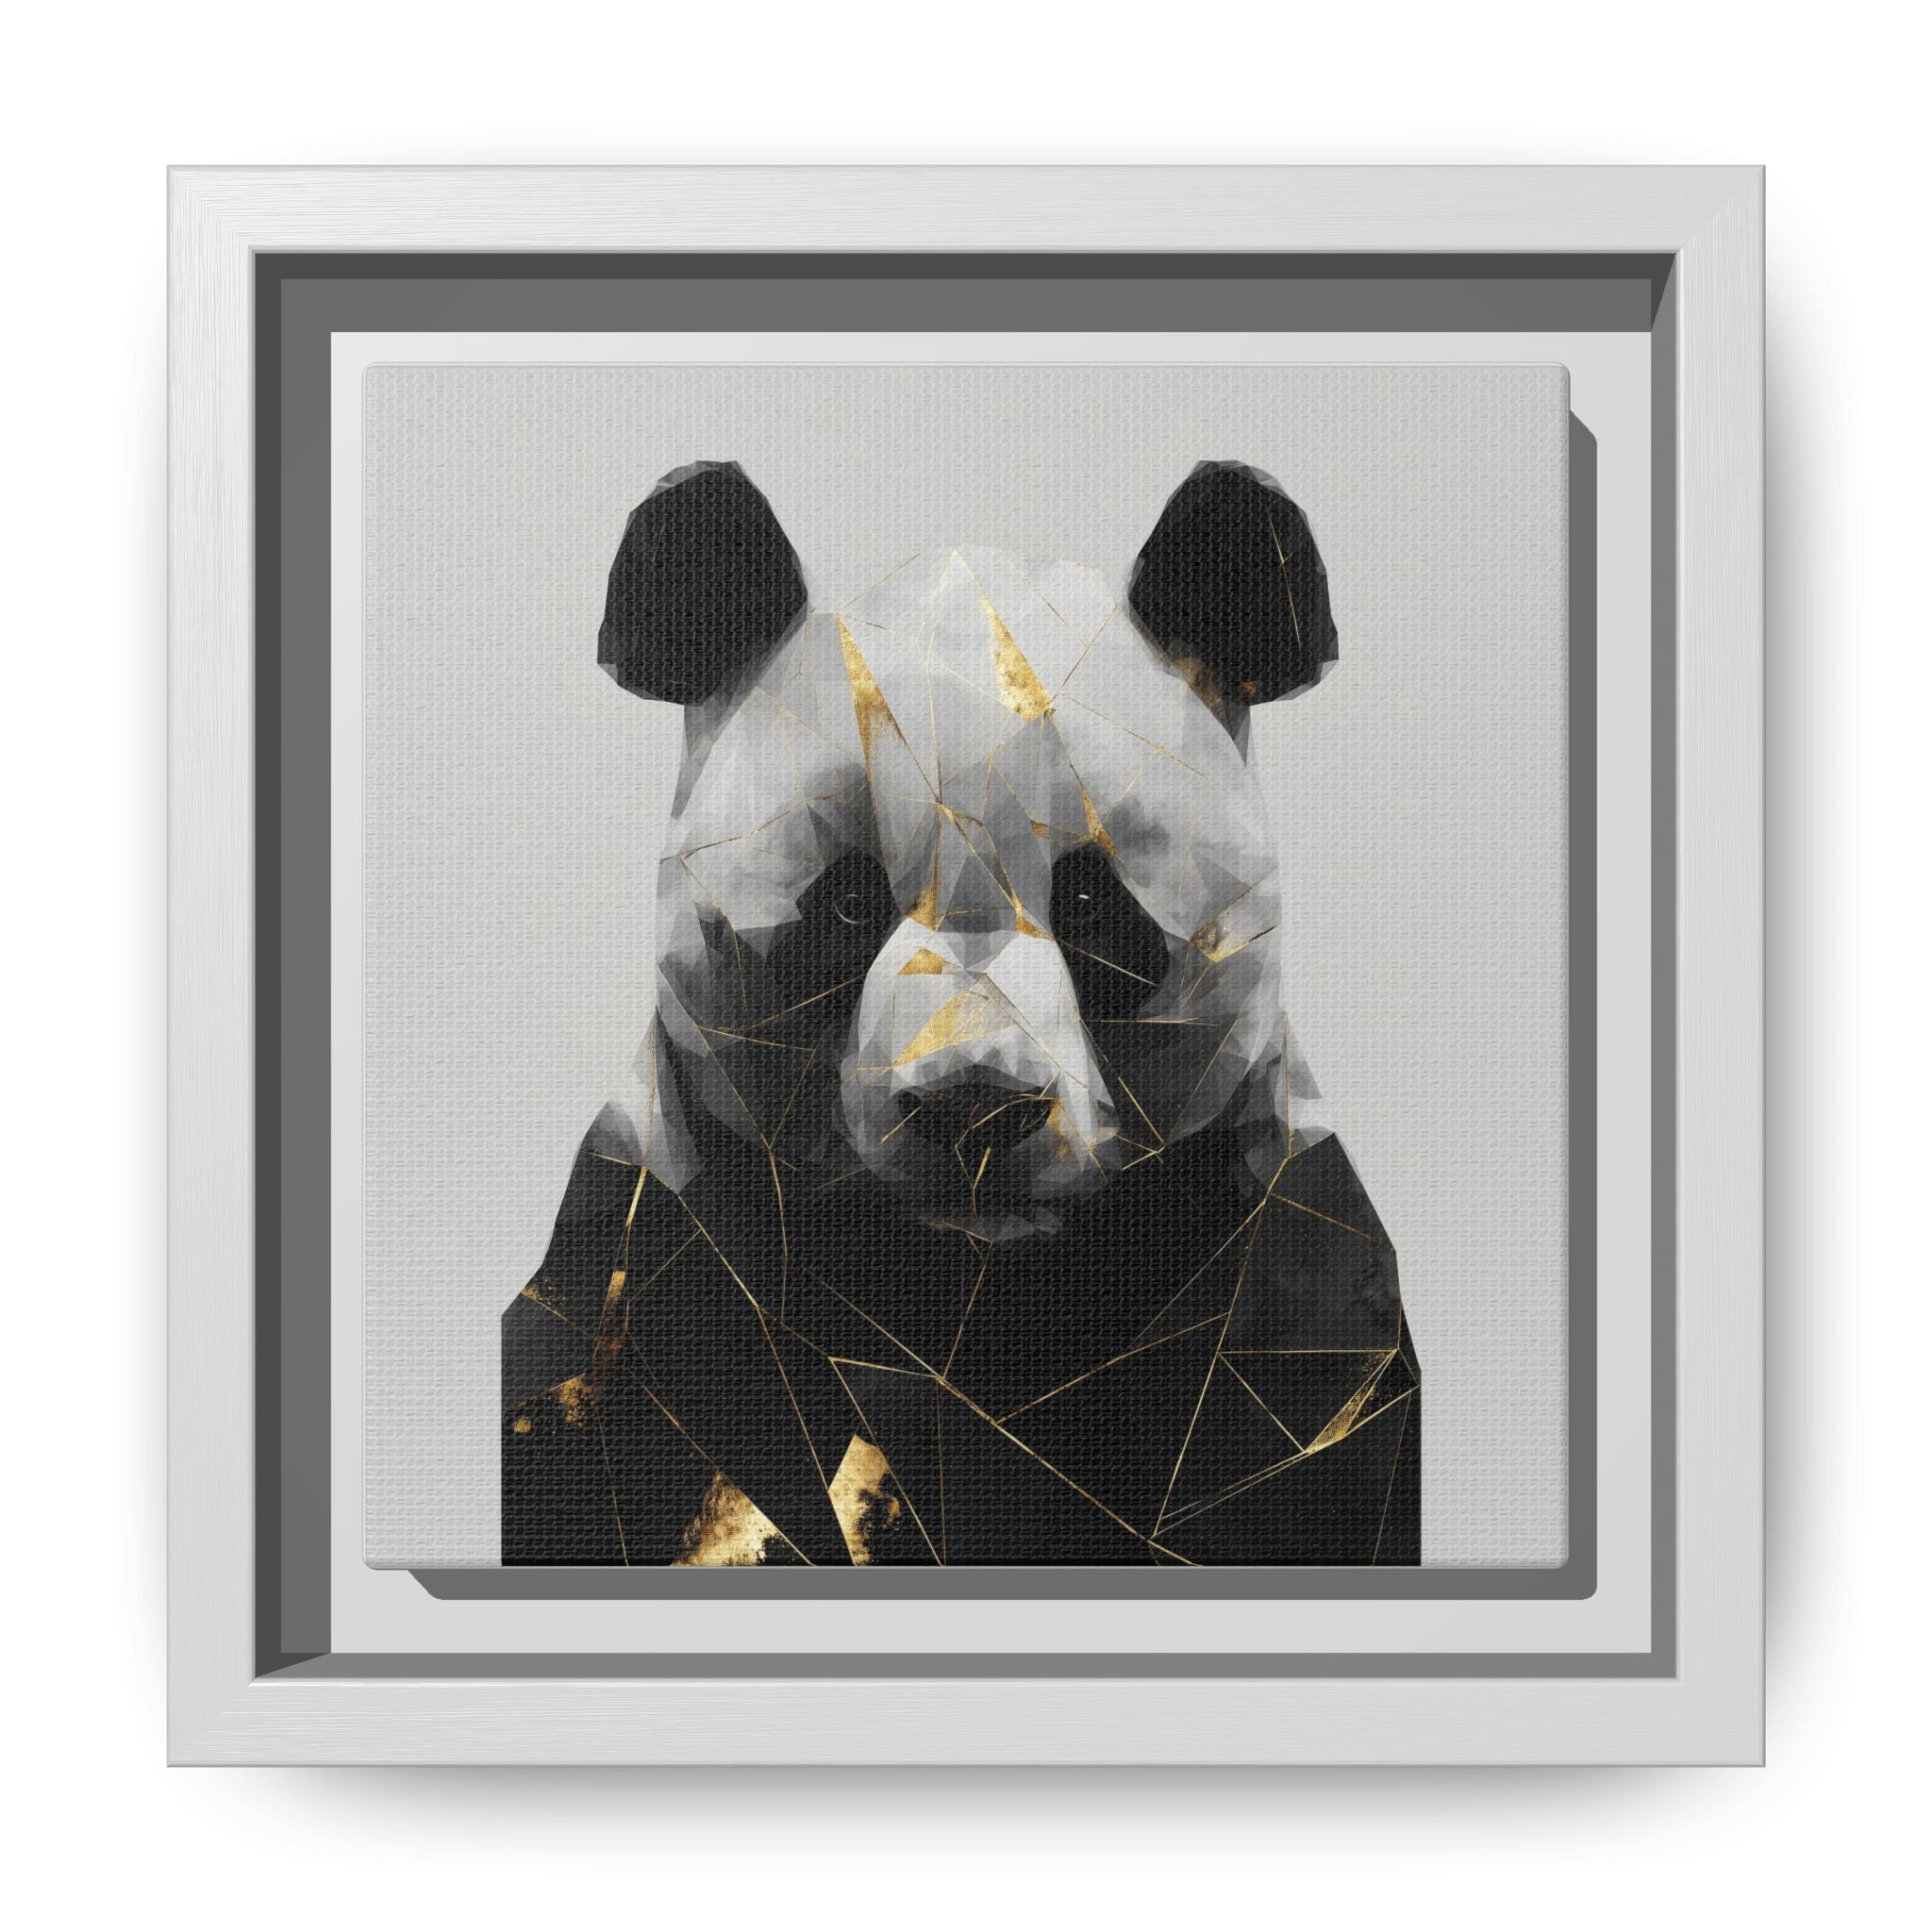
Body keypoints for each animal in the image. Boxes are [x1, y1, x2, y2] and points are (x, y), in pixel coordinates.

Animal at [502, 460, 1419, 1566]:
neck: (964, 1298)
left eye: (1089, 899)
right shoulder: (658, 1275)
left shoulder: (1279, 1291)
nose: (974, 1107)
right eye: (848, 903)